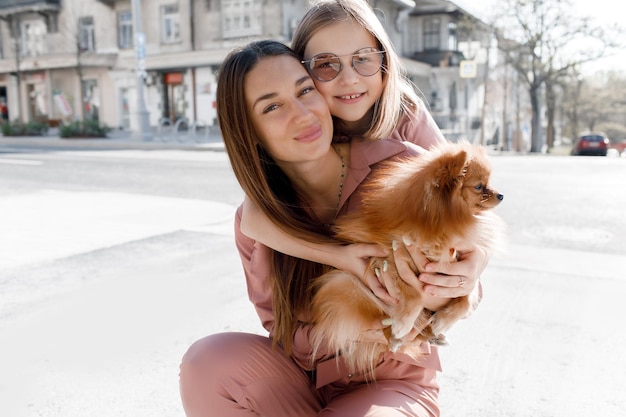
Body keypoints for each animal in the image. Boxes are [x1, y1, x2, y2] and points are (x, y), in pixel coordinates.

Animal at [310, 140, 504, 374]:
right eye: (479, 187)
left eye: (489, 183)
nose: (501, 195)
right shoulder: (388, 260)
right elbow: (415, 296)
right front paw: (403, 324)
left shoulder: (456, 270)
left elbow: (467, 298)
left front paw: (443, 321)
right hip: (348, 284)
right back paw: (396, 336)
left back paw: (433, 335)